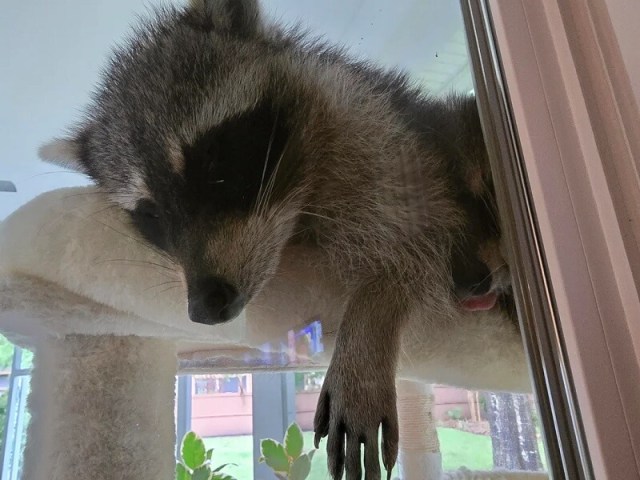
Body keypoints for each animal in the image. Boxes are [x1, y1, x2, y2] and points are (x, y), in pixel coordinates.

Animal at [39, 1, 512, 479]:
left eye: (213, 162)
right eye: (151, 214)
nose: (204, 305)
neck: (300, 205)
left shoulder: (386, 140)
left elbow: (420, 244)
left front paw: (373, 311)